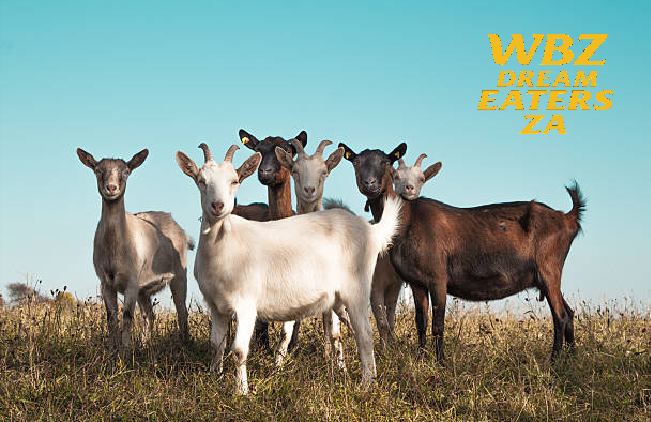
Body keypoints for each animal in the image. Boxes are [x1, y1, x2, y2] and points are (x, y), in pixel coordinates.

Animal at [77, 148, 192, 356]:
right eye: (98, 170)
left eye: (126, 171)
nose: (111, 188)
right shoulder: (106, 282)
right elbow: (111, 318)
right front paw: (112, 352)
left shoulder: (131, 281)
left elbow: (127, 317)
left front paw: (124, 353)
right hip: (143, 289)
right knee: (149, 315)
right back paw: (145, 346)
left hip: (179, 275)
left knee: (181, 311)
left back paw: (184, 345)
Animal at [237, 129, 307, 350]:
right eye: (258, 150)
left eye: (287, 150)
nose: (265, 172)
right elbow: (260, 323)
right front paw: (263, 350)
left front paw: (293, 349)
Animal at [275, 138, 346, 367]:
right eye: (295, 171)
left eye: (324, 172)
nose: (309, 189)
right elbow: (286, 332)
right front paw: (277, 365)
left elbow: (335, 332)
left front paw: (341, 367)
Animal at [339, 142, 432, 350]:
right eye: (356, 162)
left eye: (386, 161)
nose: (370, 183)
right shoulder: (375, 285)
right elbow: (382, 322)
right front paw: (386, 350)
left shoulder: (394, 284)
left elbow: (389, 319)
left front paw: (390, 347)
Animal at [388, 152, 585, 361]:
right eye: (396, 177)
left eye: (421, 179)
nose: (408, 189)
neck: (409, 220)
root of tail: (568, 218)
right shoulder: (417, 283)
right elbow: (421, 323)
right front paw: (420, 360)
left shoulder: (437, 279)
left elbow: (437, 325)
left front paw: (440, 362)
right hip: (545, 278)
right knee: (569, 313)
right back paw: (572, 359)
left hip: (549, 271)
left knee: (560, 315)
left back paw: (554, 360)